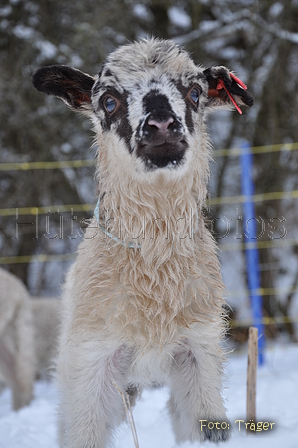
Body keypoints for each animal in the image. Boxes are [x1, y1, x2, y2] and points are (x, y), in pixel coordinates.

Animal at [33, 36, 254, 446]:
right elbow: (84, 434)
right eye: (108, 101)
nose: (162, 125)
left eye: (195, 93)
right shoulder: (92, 360)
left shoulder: (200, 352)